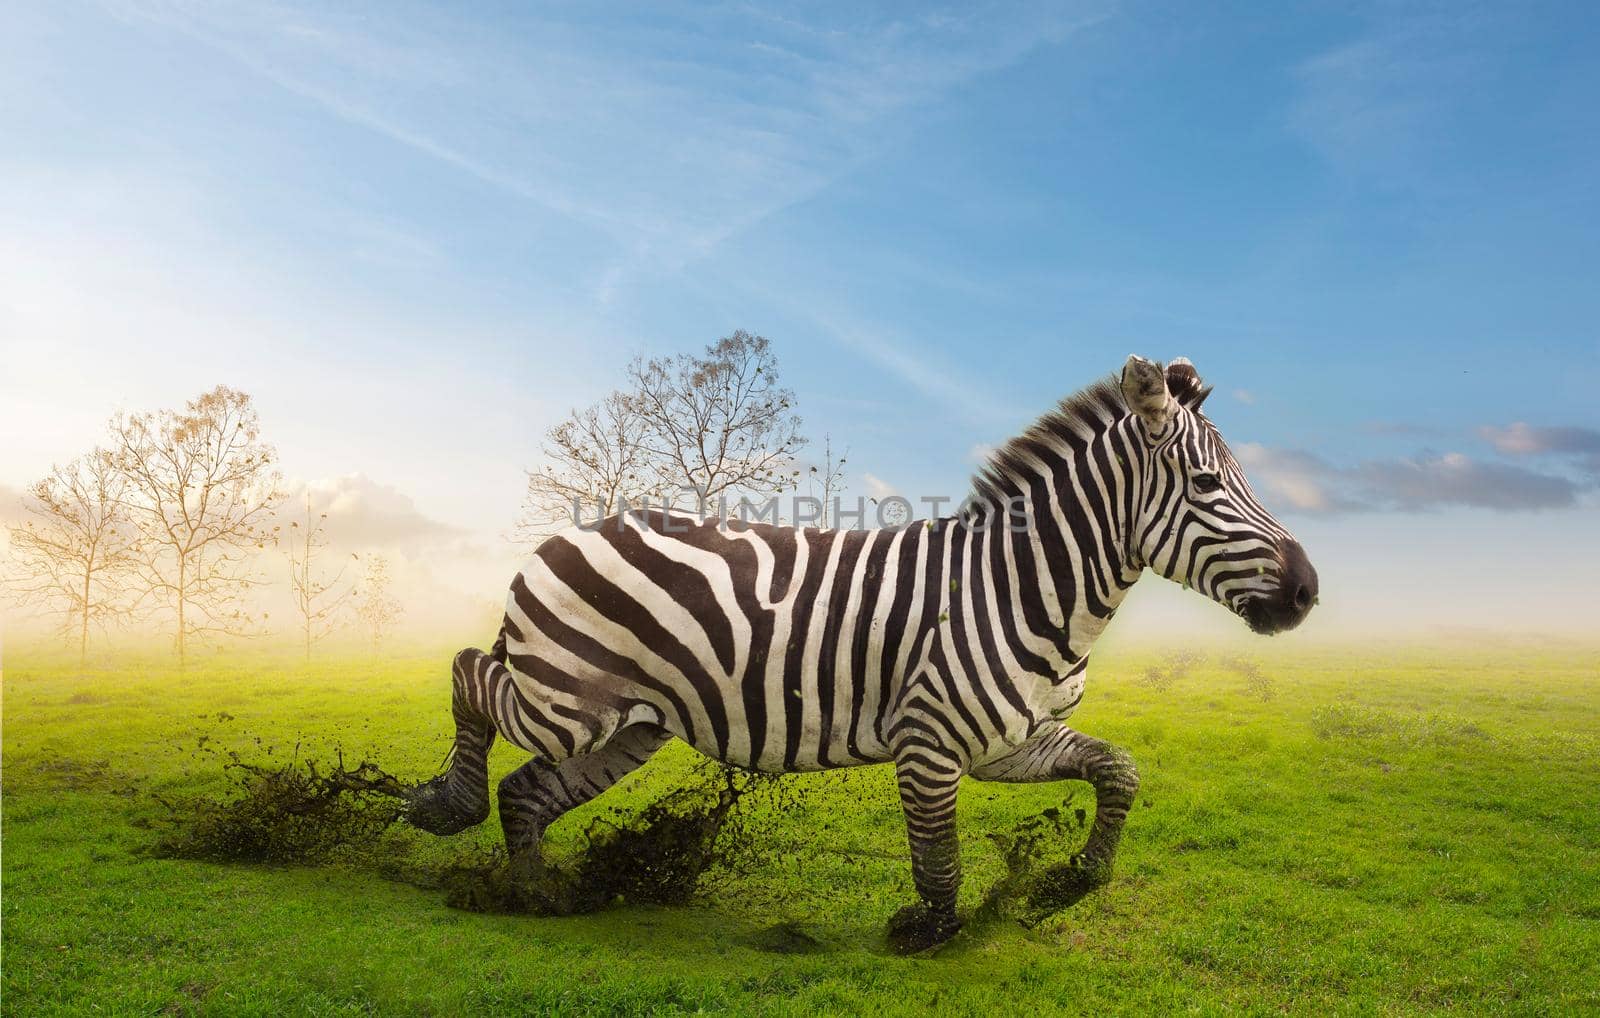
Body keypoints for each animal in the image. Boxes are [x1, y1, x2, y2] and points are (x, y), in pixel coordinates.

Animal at [409, 353, 1312, 947]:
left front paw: (1070, 880)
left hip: (628, 723)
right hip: (567, 700)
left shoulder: (1010, 743)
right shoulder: (930, 745)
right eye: (1207, 485)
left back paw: (535, 896)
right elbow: (938, 855)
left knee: (528, 793)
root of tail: (575, 531)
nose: (1307, 591)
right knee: (467, 672)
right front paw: (927, 932)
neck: (1020, 586)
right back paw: (447, 809)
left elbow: (1119, 770)